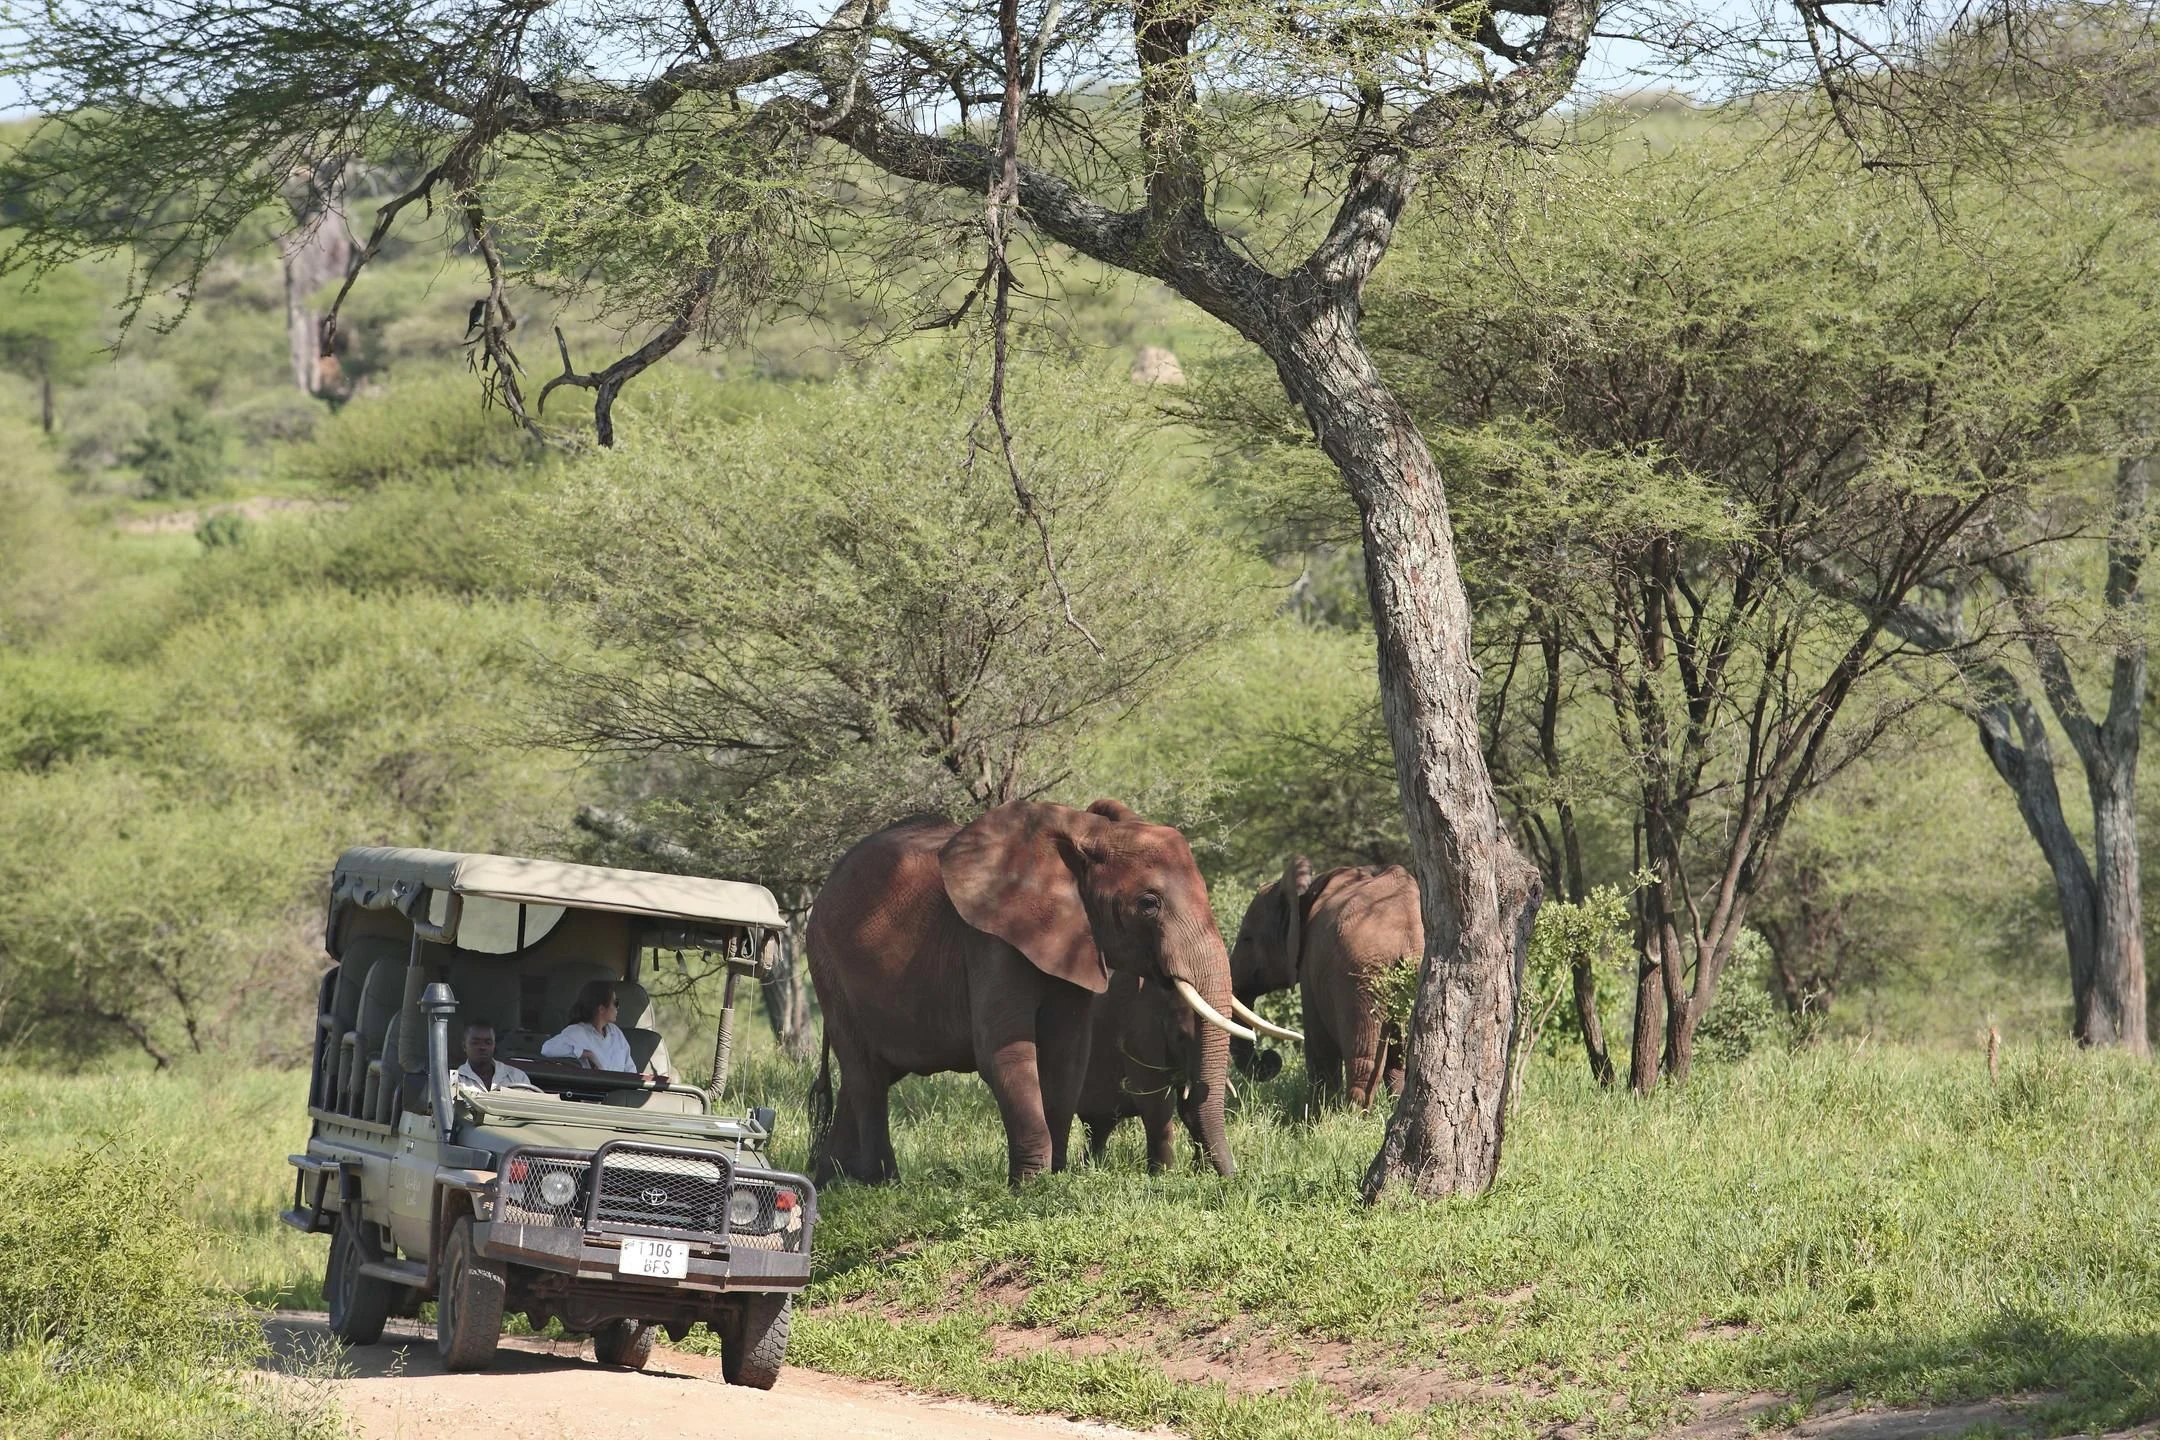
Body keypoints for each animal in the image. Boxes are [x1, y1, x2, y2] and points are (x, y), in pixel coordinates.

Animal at [804, 798, 1250, 1187]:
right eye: (1148, 903)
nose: (1230, 1180)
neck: (1085, 834)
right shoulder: (989, 941)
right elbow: (1007, 1054)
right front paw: (1031, 1188)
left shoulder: (1078, 942)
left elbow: (1067, 1056)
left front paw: (1056, 1177)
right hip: (827, 965)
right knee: (865, 1077)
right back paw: (882, 1184)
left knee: (866, 1077)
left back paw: (831, 1184)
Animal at [1229, 856, 1421, 1107]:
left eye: (1247, 939)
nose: (1270, 1056)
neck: (1307, 891)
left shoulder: (1310, 966)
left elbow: (1317, 1043)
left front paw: (1319, 1112)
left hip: (1360, 976)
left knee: (1362, 1056)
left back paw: (1354, 1113)